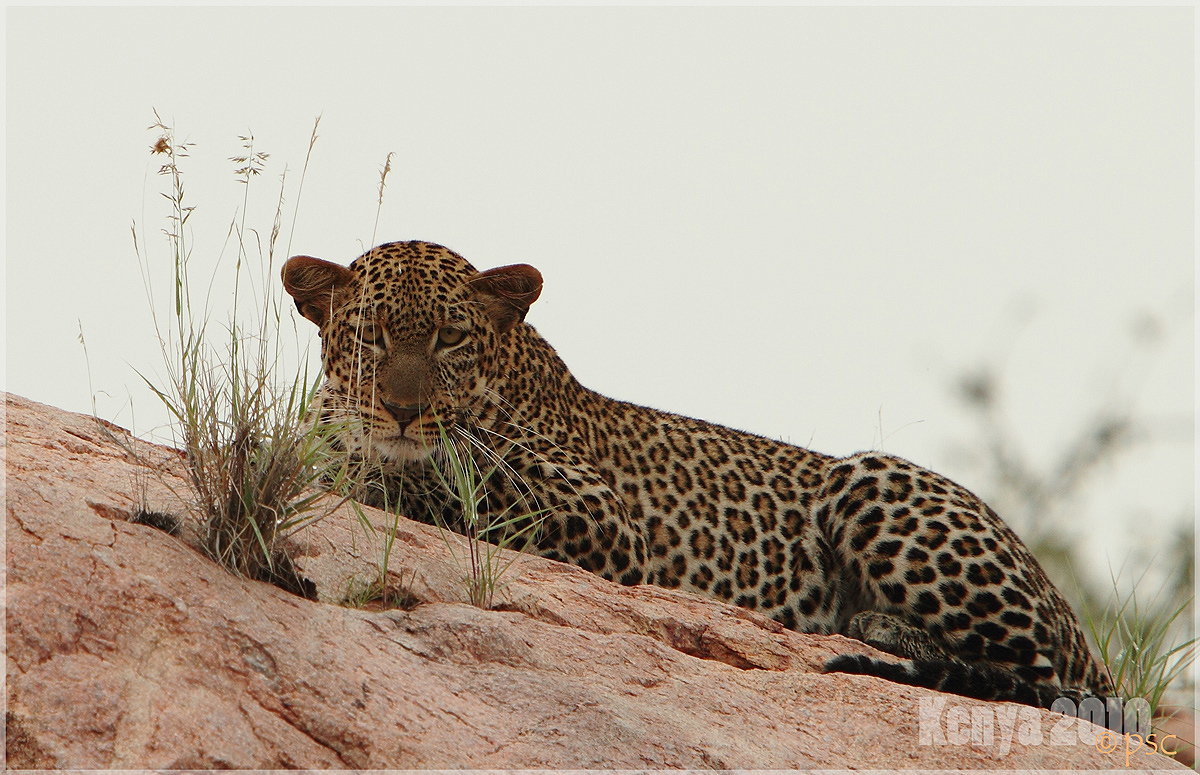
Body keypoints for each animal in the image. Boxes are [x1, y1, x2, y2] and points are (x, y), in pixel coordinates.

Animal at [280, 241, 1113, 710]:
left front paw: (373, 464)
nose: (402, 408)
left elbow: (447, 477)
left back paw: (879, 626)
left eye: (451, 338)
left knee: (1036, 673)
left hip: (869, 475)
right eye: (369, 335)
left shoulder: (607, 522)